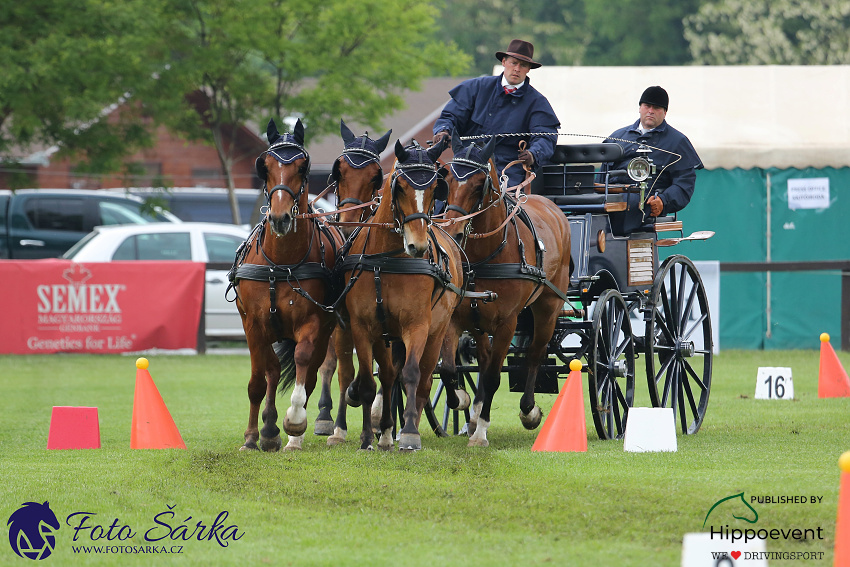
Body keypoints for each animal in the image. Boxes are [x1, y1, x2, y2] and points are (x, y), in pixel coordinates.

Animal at [232, 118, 342, 452]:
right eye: (264, 166)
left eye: (302, 167)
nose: (280, 218)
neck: (280, 263)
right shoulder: (253, 324)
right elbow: (260, 378)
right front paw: (254, 437)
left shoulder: (313, 322)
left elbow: (303, 363)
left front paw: (294, 422)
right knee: (270, 370)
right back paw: (268, 430)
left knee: (312, 373)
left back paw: (294, 434)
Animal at [336, 139, 464, 452]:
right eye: (401, 187)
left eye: (434, 189)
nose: (418, 246)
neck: (387, 259)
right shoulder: (363, 327)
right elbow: (369, 382)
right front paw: (367, 438)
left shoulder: (417, 325)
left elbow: (412, 374)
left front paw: (408, 434)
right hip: (385, 336)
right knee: (388, 375)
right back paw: (384, 432)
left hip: (438, 330)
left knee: (426, 379)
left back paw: (409, 425)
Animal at [438, 134, 568, 448]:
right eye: (446, 179)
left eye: (479, 185)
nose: (453, 231)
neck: (480, 257)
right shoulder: (455, 319)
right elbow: (449, 369)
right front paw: (463, 401)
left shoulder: (507, 323)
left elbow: (494, 377)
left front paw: (481, 432)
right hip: (479, 322)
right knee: (484, 360)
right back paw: (474, 412)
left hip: (548, 308)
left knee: (534, 354)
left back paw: (528, 410)